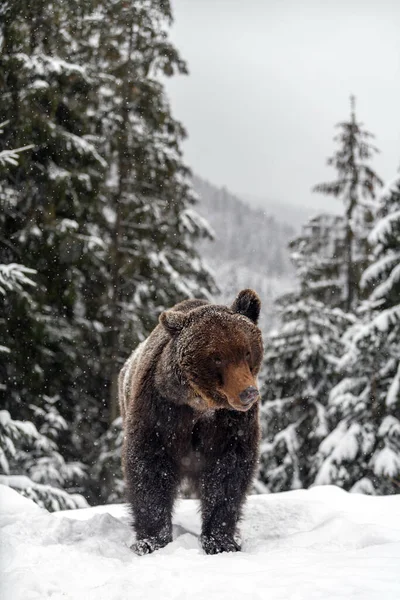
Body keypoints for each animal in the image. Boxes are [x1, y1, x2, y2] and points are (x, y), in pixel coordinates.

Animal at [119, 288, 262, 556]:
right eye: (217, 357)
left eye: (247, 351)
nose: (248, 393)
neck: (199, 406)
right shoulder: (162, 413)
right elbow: (149, 469)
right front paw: (151, 540)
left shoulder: (231, 425)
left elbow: (228, 475)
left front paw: (221, 541)